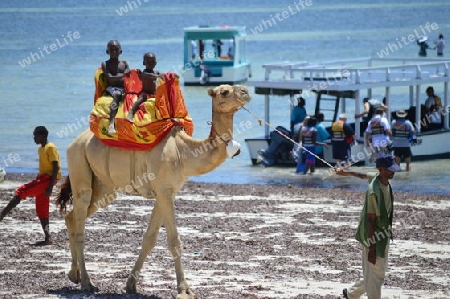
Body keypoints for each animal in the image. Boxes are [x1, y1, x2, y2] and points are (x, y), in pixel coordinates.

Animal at [55, 83, 250, 298]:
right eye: (224, 91)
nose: (245, 92)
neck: (184, 152)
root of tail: (73, 143)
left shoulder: (166, 191)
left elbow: (149, 238)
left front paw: (130, 285)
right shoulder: (164, 191)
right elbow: (174, 241)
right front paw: (184, 289)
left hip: (103, 187)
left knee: (72, 217)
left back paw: (74, 275)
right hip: (79, 165)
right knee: (80, 223)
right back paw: (87, 283)